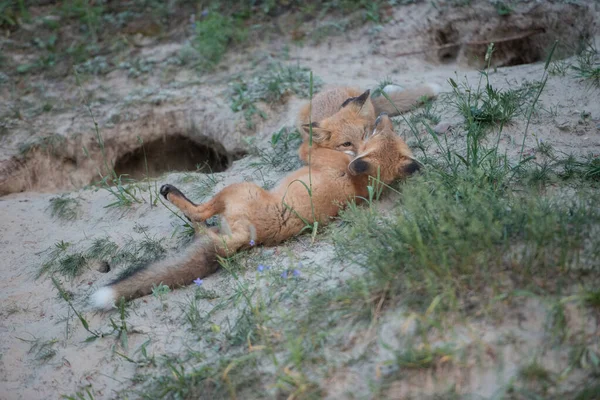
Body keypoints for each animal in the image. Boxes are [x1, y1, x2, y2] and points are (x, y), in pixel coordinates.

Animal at [91, 113, 420, 310]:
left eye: (374, 132)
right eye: (382, 130)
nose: (383, 116)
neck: (362, 180)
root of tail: (253, 237)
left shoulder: (317, 157)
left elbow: (308, 147)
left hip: (235, 188)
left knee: (200, 214)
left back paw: (174, 195)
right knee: (206, 233)